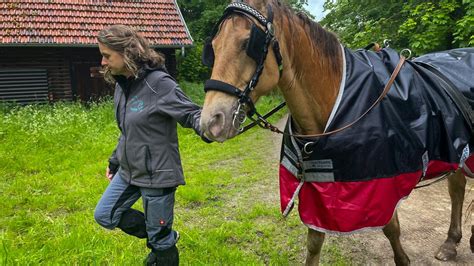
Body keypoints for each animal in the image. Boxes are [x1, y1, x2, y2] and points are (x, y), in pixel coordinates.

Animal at [199, 0, 474, 264]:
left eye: (249, 43)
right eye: (213, 45)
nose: (210, 122)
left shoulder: (383, 183)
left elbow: (391, 230)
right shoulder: (318, 190)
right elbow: (314, 242)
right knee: (457, 187)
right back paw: (451, 243)